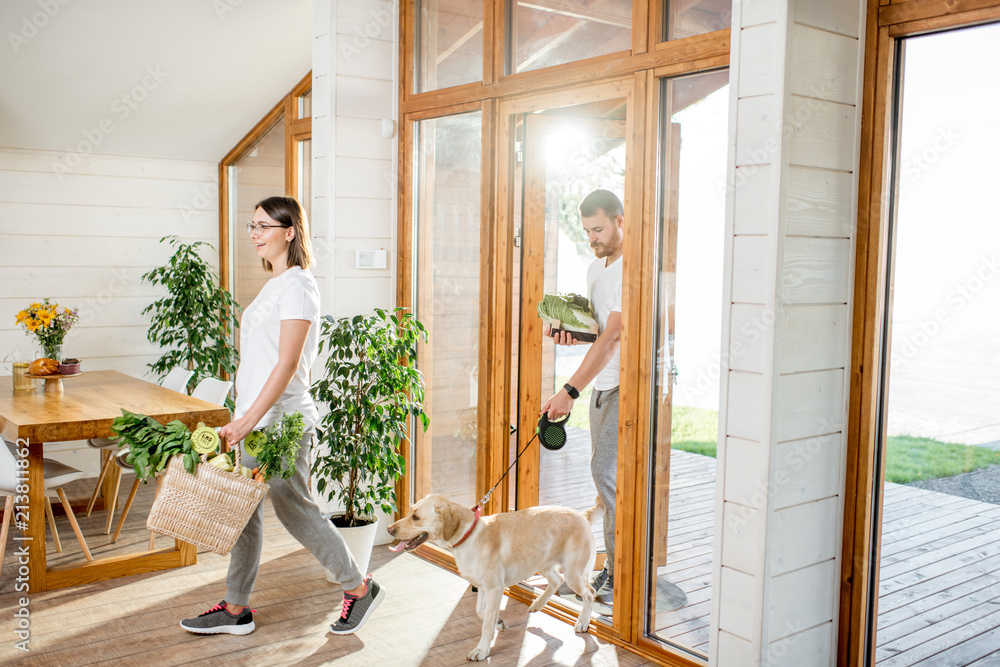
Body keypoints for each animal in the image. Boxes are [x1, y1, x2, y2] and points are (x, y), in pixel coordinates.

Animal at [386, 494, 600, 660]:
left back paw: (582, 622)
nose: (389, 529)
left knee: (589, 592)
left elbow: (486, 624)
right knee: (557, 580)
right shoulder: (483, 587)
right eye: (409, 512)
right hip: (541, 563)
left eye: (415, 517)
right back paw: (538, 604)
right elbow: (481, 612)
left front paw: (482, 650)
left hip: (573, 572)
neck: (468, 536)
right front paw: (499, 621)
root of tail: (583, 515)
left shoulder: (495, 588)